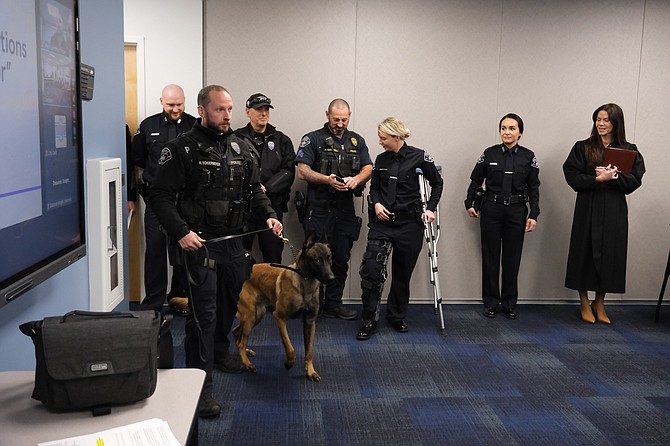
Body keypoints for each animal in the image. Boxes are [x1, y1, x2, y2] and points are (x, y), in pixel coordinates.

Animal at [234, 232, 336, 382]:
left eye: (329, 259)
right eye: (317, 260)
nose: (332, 278)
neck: (305, 284)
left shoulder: (310, 322)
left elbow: (309, 351)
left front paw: (310, 371)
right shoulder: (279, 317)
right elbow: (290, 348)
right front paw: (289, 363)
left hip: (257, 315)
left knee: (237, 335)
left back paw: (246, 353)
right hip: (250, 316)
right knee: (241, 342)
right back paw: (247, 363)